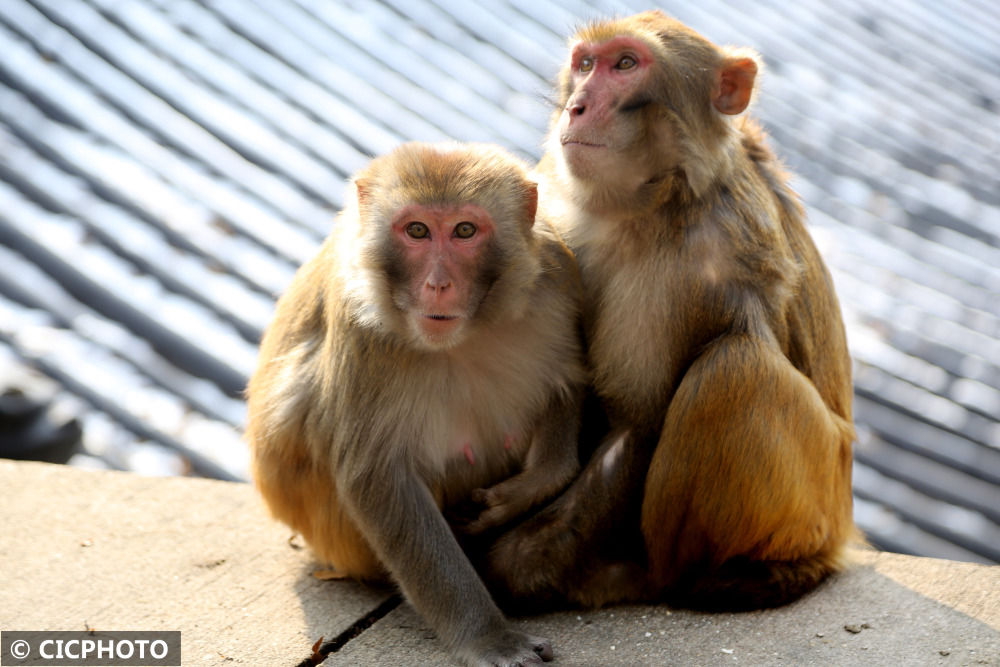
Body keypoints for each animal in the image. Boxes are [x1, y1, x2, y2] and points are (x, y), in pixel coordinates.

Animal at [244, 144, 584, 664]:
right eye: (417, 231)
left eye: (464, 231)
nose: (438, 285)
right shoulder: (361, 327)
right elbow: (378, 477)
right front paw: (489, 637)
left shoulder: (556, 276)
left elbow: (565, 386)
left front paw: (525, 489)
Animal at [480, 10, 856, 616]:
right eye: (585, 64)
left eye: (625, 64)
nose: (576, 106)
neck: (645, 204)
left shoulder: (699, 269)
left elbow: (640, 420)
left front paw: (519, 565)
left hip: (819, 494)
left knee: (734, 371)